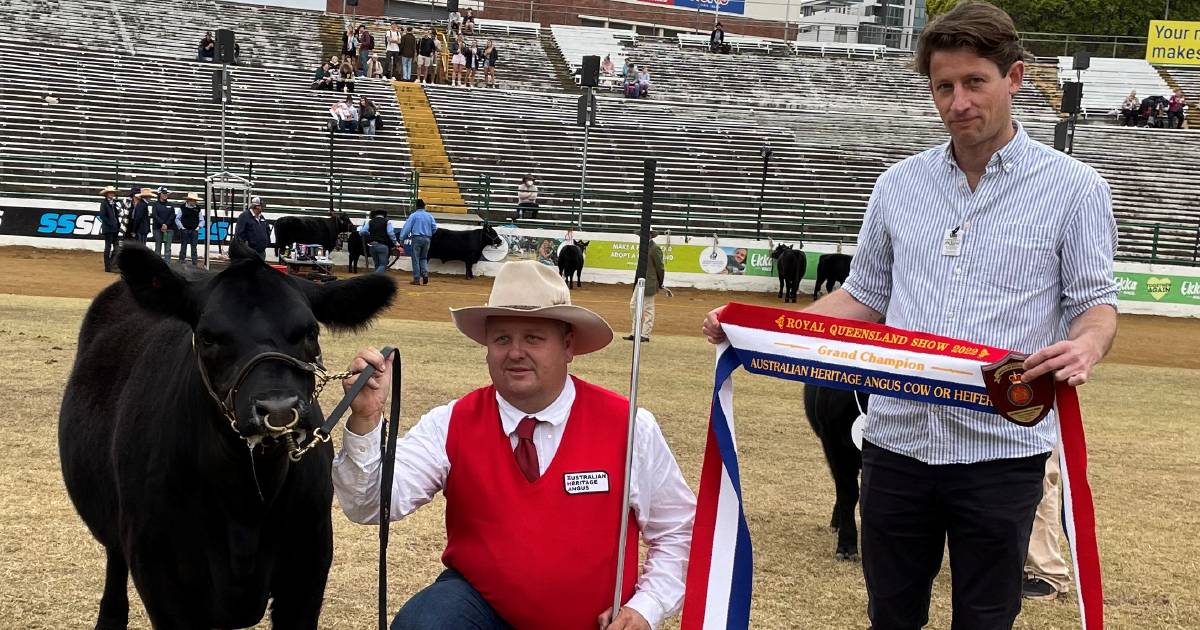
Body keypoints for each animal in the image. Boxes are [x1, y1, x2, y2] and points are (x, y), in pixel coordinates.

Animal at [58, 242, 396, 628]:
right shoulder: (158, 574)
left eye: (310, 332)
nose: (278, 408)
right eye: (207, 336)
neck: (245, 503)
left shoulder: (309, 566)